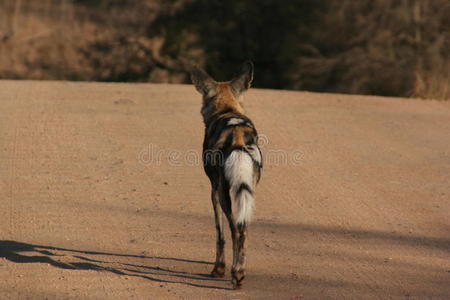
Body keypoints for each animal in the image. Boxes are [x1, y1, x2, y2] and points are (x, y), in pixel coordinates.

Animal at [191, 61, 262, 288]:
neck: (227, 109)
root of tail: (237, 137)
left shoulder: (214, 189)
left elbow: (219, 234)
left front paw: (218, 269)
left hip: (223, 193)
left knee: (235, 229)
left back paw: (235, 274)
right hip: (247, 192)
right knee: (244, 229)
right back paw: (239, 272)